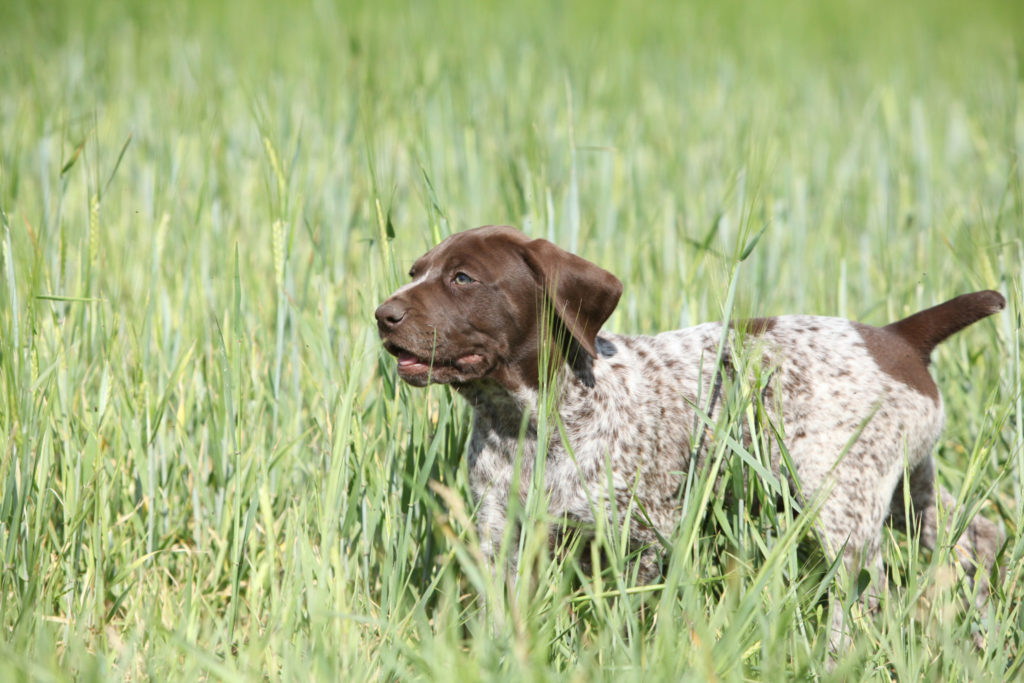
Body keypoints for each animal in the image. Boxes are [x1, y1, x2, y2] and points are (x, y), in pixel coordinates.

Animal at [372, 227, 1003, 634]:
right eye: (415, 273)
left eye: (463, 277)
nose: (384, 315)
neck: (529, 421)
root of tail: (898, 336)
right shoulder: (499, 536)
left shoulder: (641, 539)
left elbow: (630, 620)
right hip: (903, 491)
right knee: (979, 537)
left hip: (839, 504)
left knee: (864, 595)